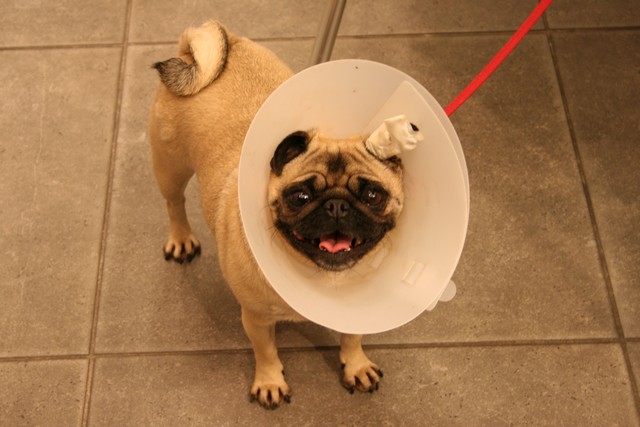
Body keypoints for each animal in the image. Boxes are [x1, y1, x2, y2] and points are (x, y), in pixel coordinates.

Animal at [148, 21, 406, 409]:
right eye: (300, 196)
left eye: (373, 195)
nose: (337, 205)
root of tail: (213, 37)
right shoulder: (255, 318)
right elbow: (266, 351)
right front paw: (270, 382)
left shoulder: (354, 310)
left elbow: (352, 336)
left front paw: (356, 365)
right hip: (170, 166)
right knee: (174, 203)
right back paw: (181, 239)